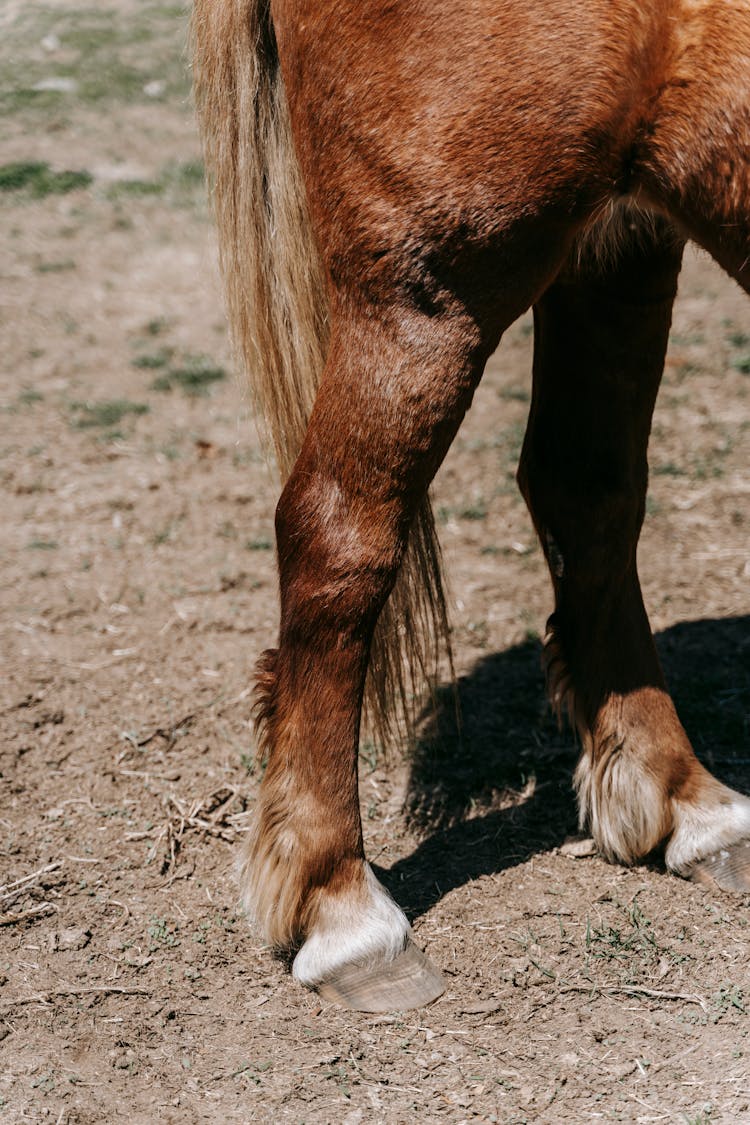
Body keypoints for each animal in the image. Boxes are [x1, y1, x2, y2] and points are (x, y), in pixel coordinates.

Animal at [193, 0, 750, 1012]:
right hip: (435, 283)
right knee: (337, 529)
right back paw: (344, 910)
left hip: (620, 238)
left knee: (587, 491)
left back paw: (686, 799)